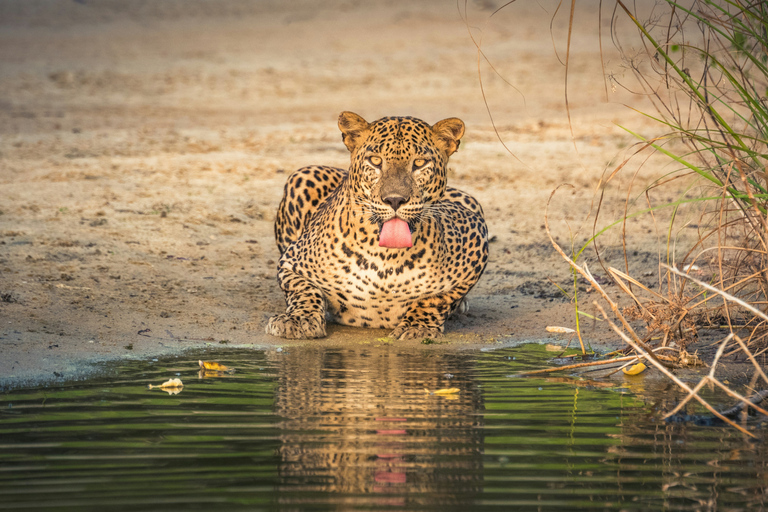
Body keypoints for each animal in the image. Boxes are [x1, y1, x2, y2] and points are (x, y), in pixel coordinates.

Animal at [265, 111, 488, 340]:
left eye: (419, 163)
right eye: (375, 161)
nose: (395, 199)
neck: (386, 257)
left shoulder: (475, 237)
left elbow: (436, 299)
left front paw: (417, 327)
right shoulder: (291, 262)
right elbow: (304, 290)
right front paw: (298, 320)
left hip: (470, 200)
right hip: (303, 174)